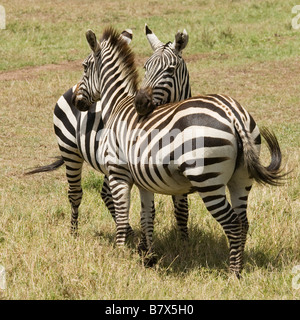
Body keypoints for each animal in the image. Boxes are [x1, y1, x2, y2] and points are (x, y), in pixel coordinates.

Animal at [27, 25, 192, 240]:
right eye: (145, 67)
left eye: (171, 70)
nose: (140, 102)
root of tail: (70, 88)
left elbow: (181, 206)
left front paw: (184, 240)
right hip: (70, 151)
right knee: (75, 193)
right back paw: (74, 233)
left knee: (105, 193)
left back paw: (128, 232)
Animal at [72, 26, 286, 278]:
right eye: (145, 67)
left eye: (85, 66)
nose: (76, 101)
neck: (117, 105)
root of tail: (232, 113)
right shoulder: (143, 181)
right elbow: (147, 216)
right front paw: (148, 257)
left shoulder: (118, 173)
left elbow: (123, 215)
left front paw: (120, 254)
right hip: (241, 179)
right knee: (243, 222)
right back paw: (239, 267)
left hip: (208, 180)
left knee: (233, 224)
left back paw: (233, 274)